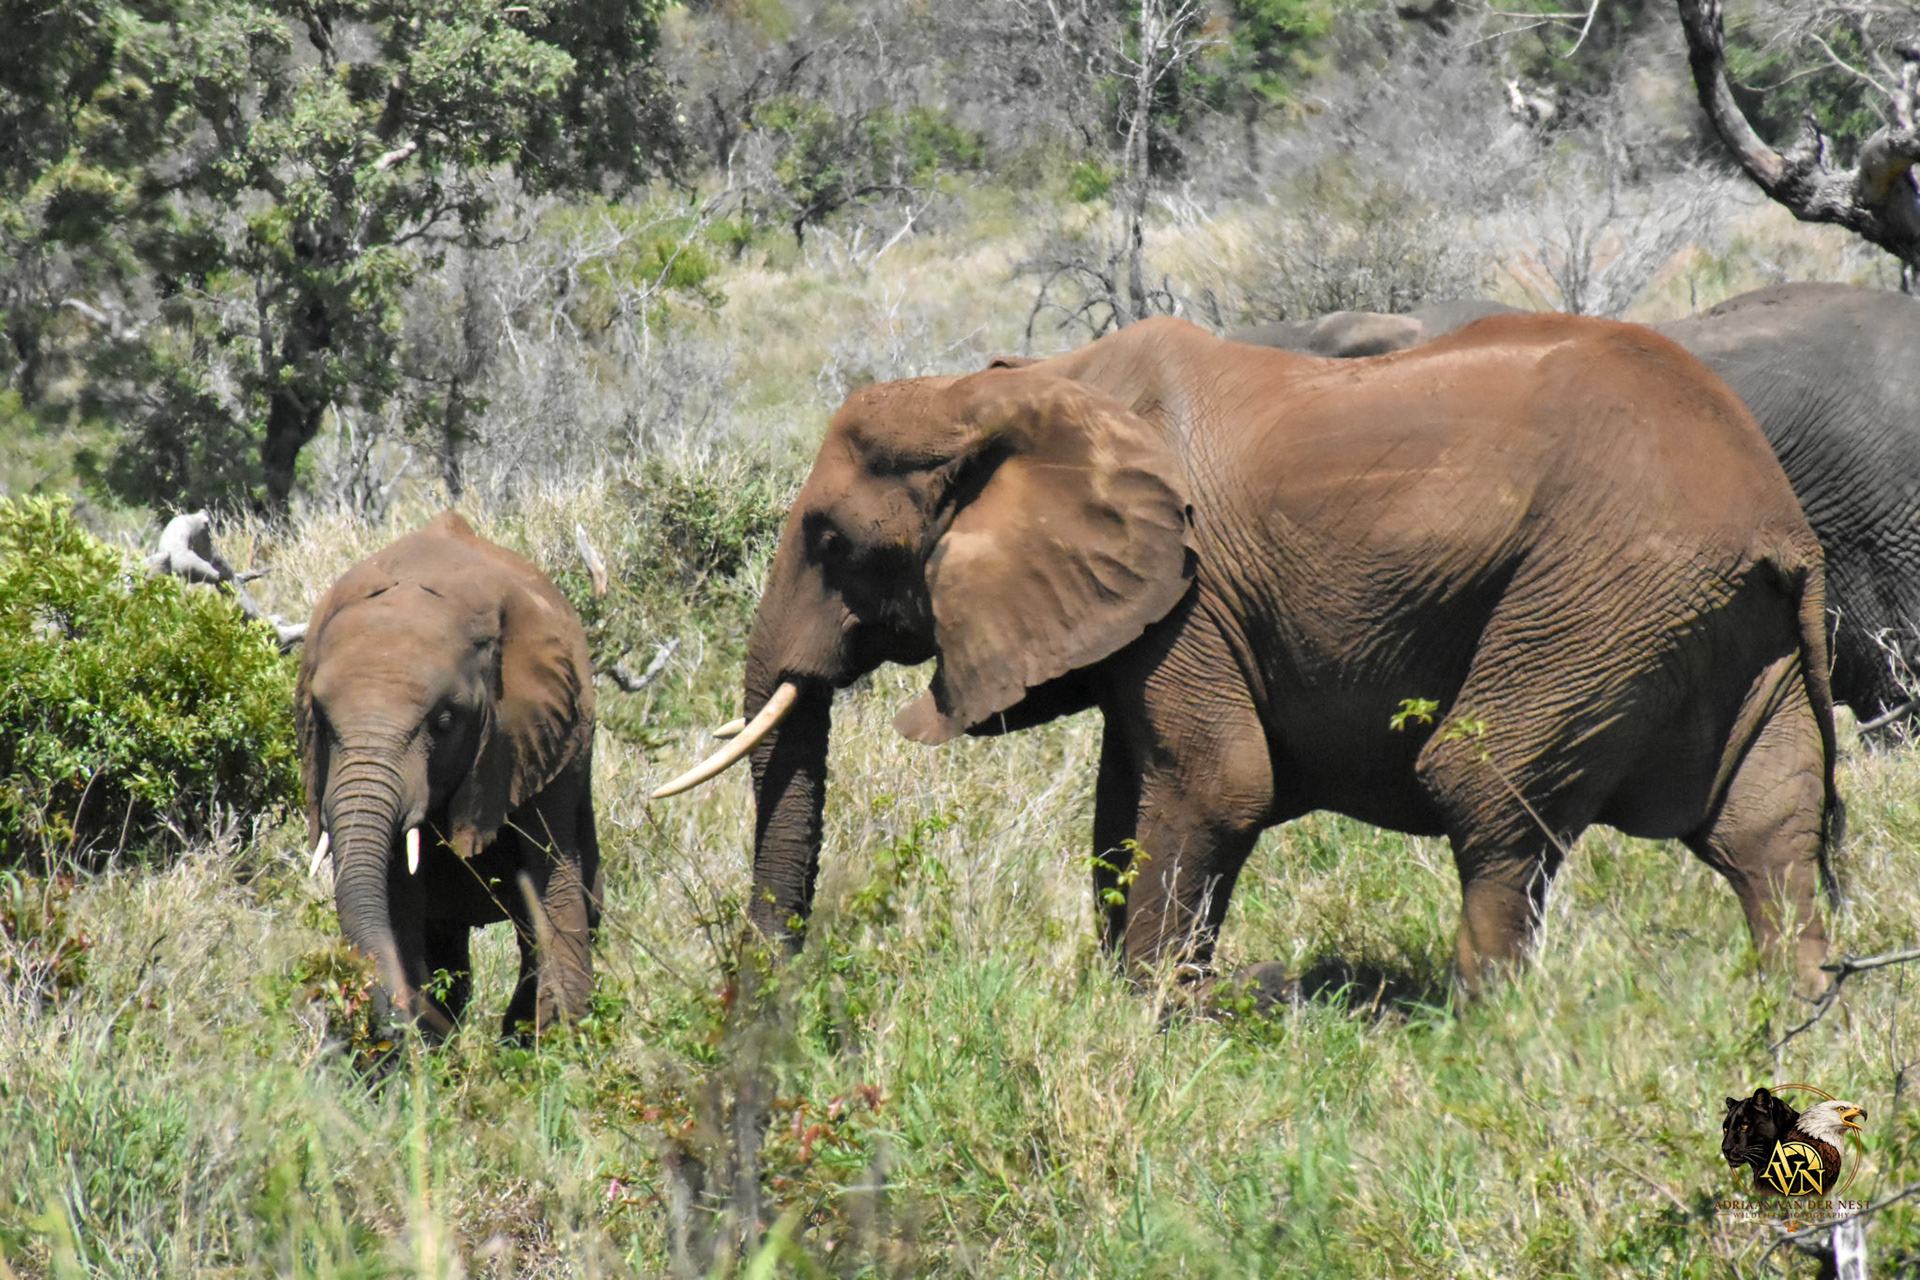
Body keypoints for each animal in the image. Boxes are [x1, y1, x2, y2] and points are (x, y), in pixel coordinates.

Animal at [297, 512, 600, 1038]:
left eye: (443, 721)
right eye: (324, 721)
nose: (392, 1017)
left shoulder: (540, 733)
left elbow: (553, 880)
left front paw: (559, 1037)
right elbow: (397, 900)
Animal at [654, 314, 1842, 996]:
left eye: (830, 541)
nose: (759, 1010)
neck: (1010, 388)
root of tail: (1779, 519)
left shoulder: (1190, 590)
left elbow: (1218, 788)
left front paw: (1144, 1025)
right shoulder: (1152, 616)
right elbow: (1123, 798)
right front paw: (1122, 1004)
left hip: (1597, 598)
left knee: (1487, 795)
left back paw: (1484, 1034)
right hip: (1716, 626)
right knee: (1766, 831)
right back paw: (1790, 1026)